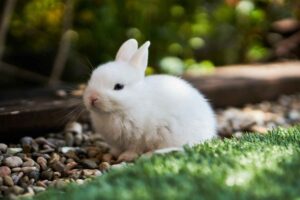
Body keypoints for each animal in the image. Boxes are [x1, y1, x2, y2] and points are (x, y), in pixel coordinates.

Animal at [83, 38, 217, 161]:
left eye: (119, 87)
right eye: (92, 79)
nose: (92, 98)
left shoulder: (139, 137)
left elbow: (135, 148)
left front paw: (126, 156)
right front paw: (113, 154)